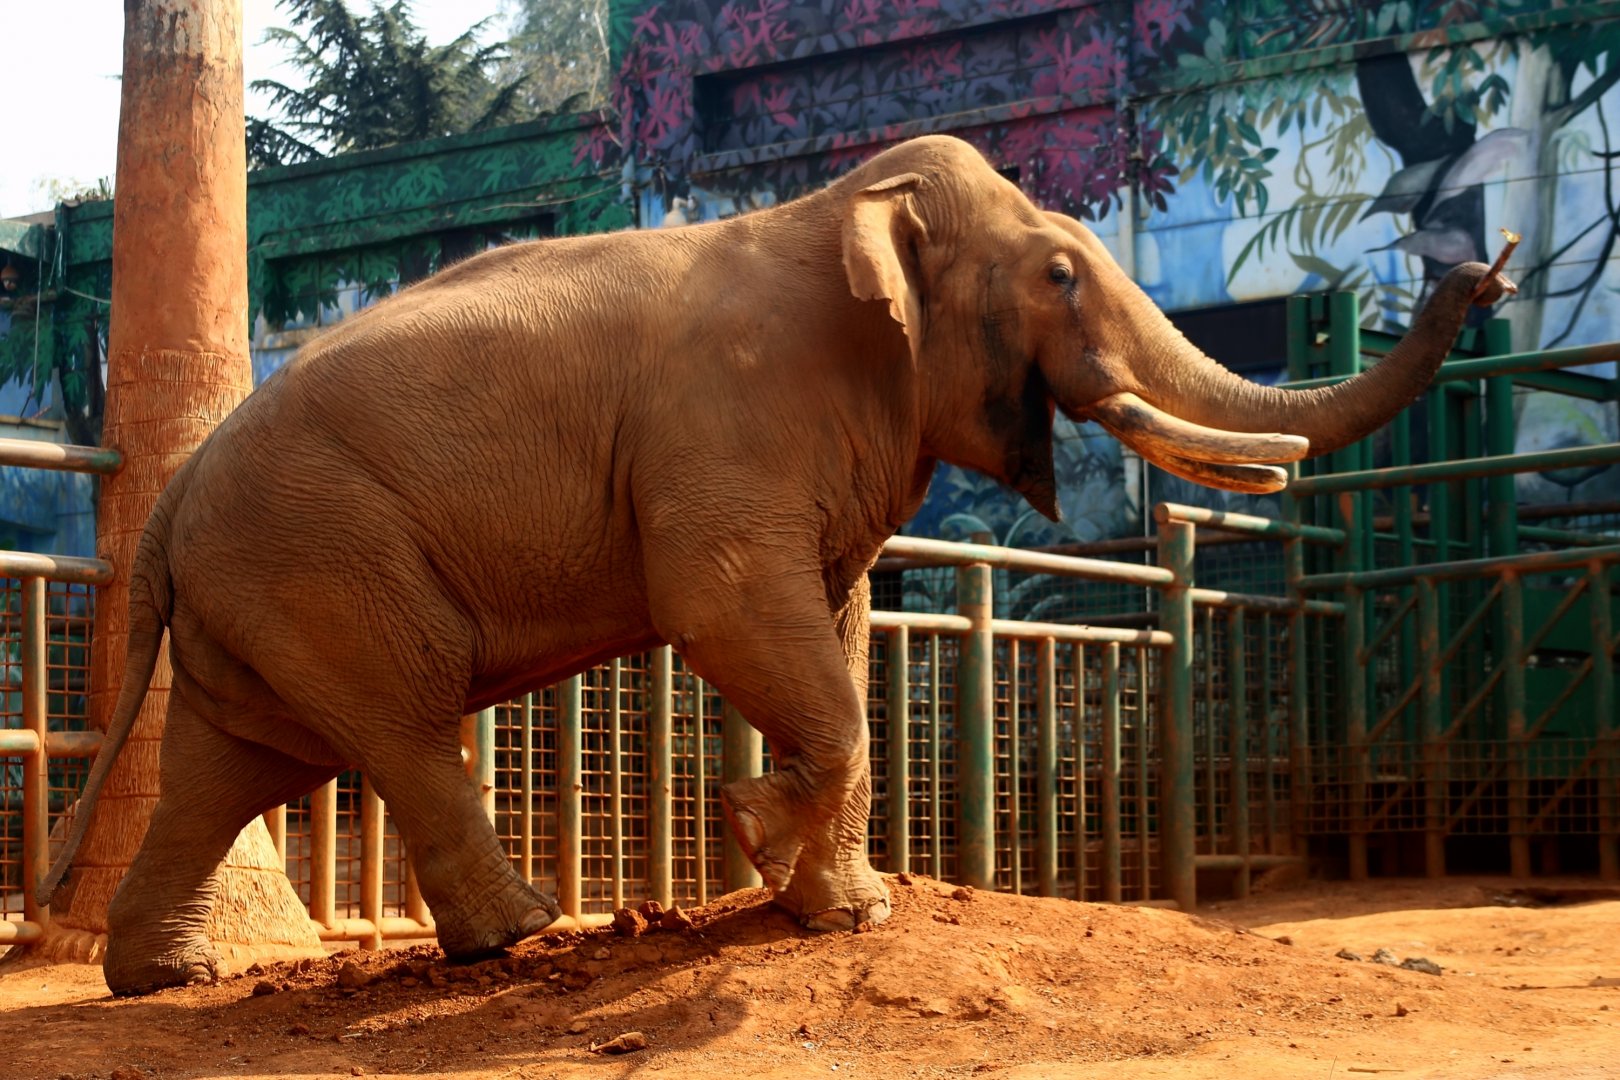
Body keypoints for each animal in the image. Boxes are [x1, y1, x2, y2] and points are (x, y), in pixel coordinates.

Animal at [39, 134, 1511, 995]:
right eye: (1058, 275)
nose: (1481, 270)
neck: (838, 204)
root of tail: (166, 507)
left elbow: (840, 618)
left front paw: (833, 901)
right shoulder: (727, 425)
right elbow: (727, 603)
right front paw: (762, 833)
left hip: (268, 587)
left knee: (242, 762)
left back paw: (165, 981)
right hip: (324, 557)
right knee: (394, 718)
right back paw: (521, 936)